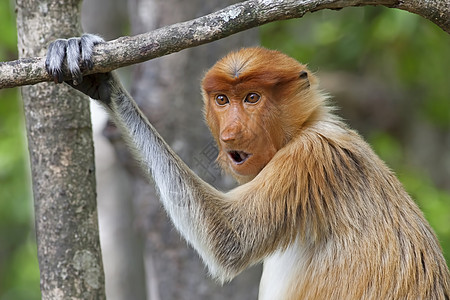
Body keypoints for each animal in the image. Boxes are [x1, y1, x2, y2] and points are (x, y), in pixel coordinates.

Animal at [45, 34, 450, 298]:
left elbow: (228, 240)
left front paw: (107, 83)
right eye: (223, 100)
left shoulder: (308, 158)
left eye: (253, 98)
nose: (231, 133)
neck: (307, 126)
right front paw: (92, 73)